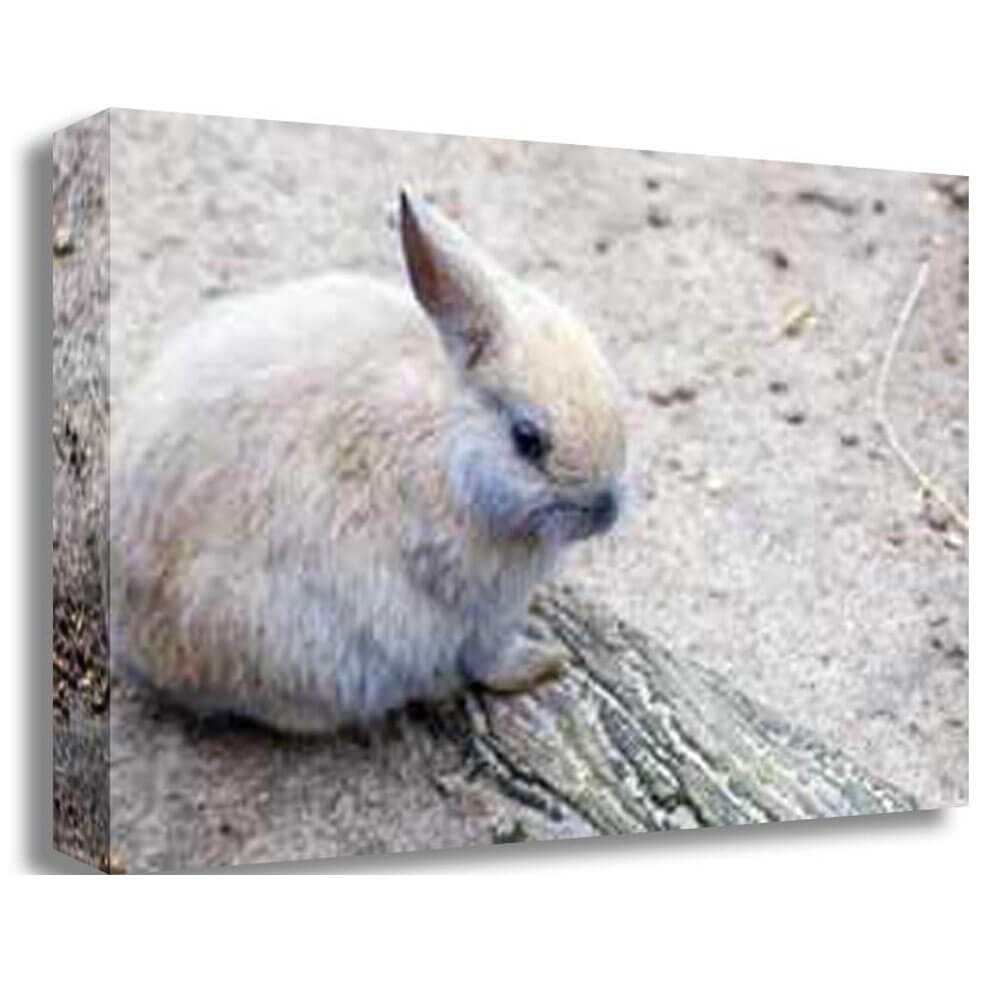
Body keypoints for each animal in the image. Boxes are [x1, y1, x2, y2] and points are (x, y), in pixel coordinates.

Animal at [109, 191, 627, 733]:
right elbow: (487, 660)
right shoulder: (477, 606)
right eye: (527, 440)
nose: (605, 511)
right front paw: (543, 663)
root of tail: (139, 651)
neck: (448, 436)